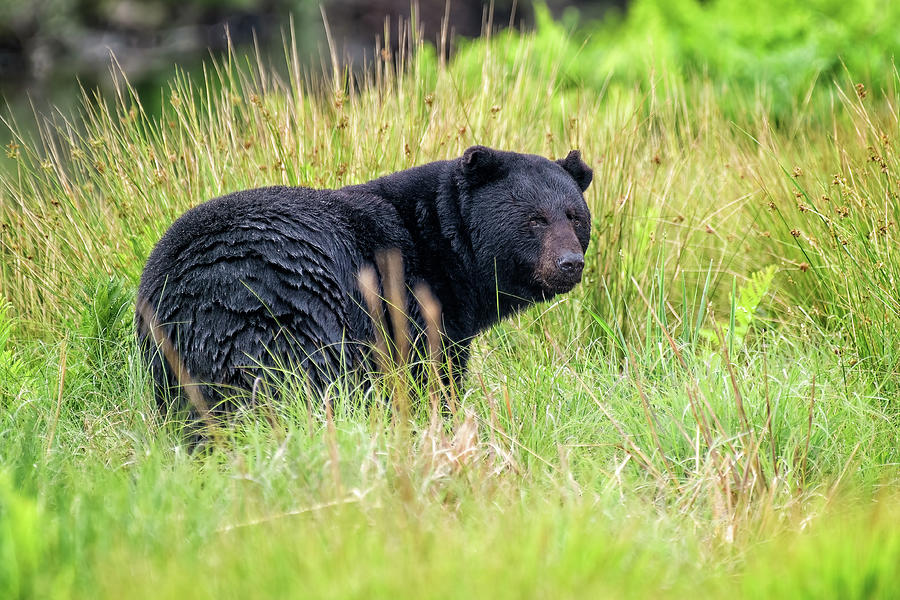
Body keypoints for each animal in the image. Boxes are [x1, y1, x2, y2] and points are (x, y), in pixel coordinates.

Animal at [137, 148, 596, 414]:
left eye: (575, 216)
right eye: (535, 219)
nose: (570, 262)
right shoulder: (409, 295)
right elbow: (431, 369)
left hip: (165, 359)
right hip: (292, 311)